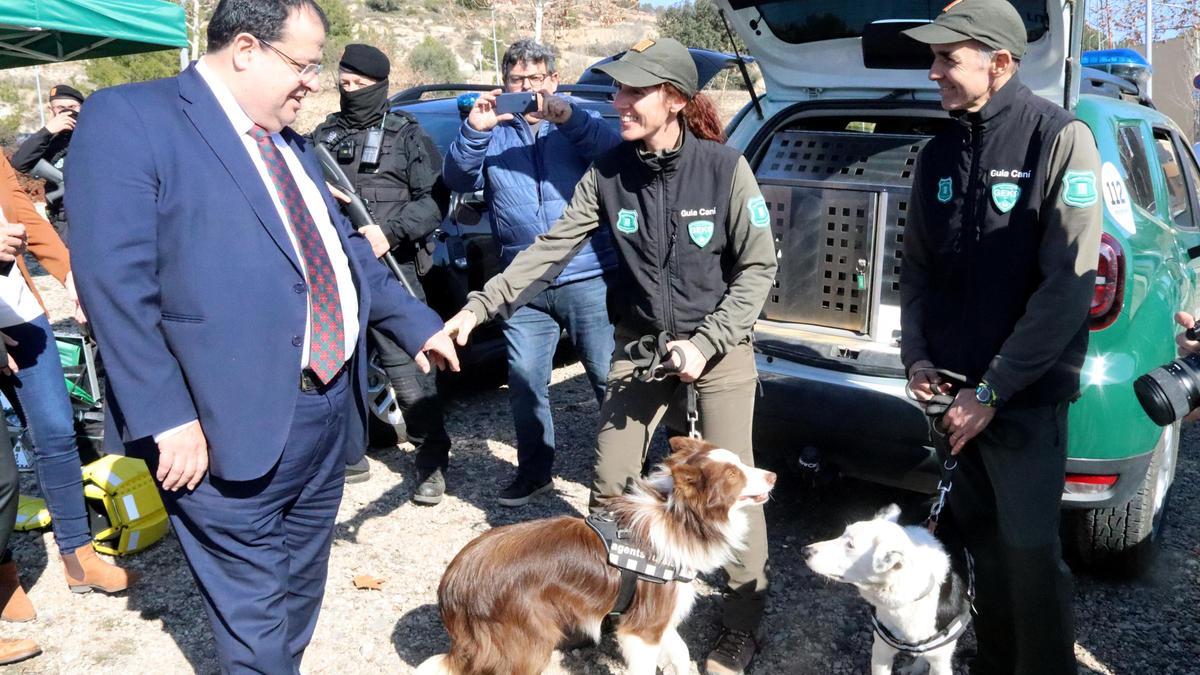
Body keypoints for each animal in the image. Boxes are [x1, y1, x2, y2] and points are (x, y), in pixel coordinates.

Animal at [417, 437, 772, 672]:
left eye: (740, 463)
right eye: (733, 475)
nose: (773, 476)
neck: (680, 517)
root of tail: (452, 585)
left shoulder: (660, 615)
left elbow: (681, 653)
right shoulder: (641, 630)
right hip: (525, 641)